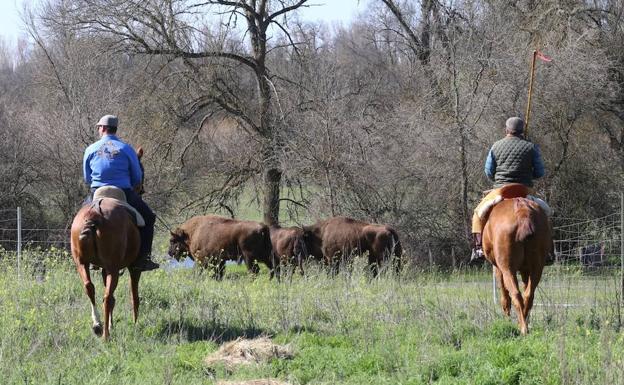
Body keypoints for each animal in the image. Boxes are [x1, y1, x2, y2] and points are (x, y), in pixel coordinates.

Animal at [69, 148, 145, 338]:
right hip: (113, 268)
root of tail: (95, 213)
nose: (142, 189)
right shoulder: (134, 268)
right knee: (107, 297)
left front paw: (110, 323)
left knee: (90, 288)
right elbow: (134, 295)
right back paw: (105, 335)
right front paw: (135, 323)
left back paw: (97, 325)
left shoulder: (103, 268)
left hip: (82, 263)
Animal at [482, 186, 552, 332]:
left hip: (508, 269)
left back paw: (523, 328)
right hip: (537, 268)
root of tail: (522, 212)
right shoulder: (525, 270)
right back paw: (524, 323)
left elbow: (504, 296)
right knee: (528, 295)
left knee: (515, 294)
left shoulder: (498, 269)